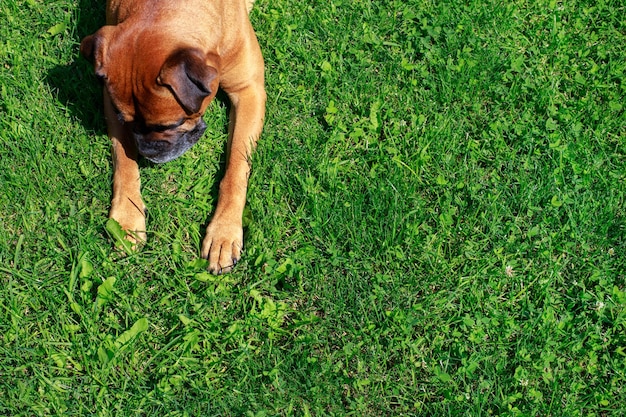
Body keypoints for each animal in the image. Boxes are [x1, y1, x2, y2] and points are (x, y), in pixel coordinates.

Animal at [80, 0, 264, 274]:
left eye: (172, 124)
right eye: (126, 122)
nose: (147, 151)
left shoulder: (248, 90)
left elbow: (235, 169)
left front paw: (224, 232)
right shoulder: (110, 103)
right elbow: (123, 160)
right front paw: (127, 217)